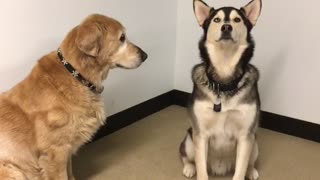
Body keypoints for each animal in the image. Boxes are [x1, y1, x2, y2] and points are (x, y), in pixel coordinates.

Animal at [0, 13, 148, 179]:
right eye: (122, 38)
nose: (145, 55)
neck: (76, 76)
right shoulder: (55, 153)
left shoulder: (67, 149)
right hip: (14, 170)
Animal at [180, 0, 262, 180]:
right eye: (216, 20)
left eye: (237, 20)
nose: (226, 27)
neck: (224, 83)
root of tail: (220, 167)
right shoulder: (201, 134)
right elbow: (201, 169)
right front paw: (196, 170)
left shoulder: (245, 136)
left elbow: (240, 171)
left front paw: (245, 171)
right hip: (190, 138)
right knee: (186, 157)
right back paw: (189, 167)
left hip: (254, 142)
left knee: (249, 162)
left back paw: (251, 170)